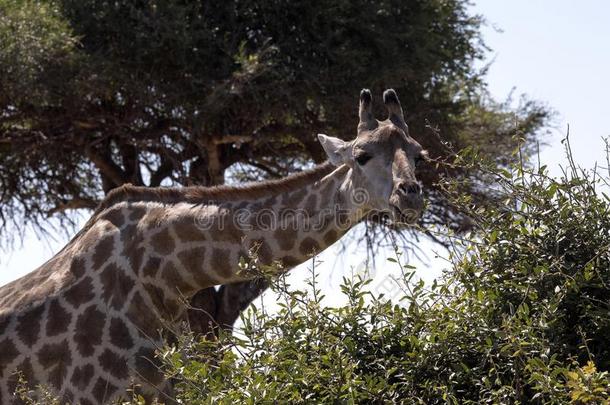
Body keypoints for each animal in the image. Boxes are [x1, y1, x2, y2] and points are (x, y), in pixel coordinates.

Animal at [0, 88, 428, 400]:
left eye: (420, 155)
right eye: (361, 155)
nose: (410, 197)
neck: (166, 277)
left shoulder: (167, 388)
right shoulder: (84, 393)